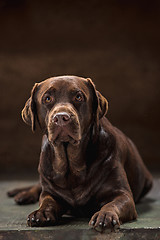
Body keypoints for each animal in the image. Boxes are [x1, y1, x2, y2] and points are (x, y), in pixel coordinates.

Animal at [7, 76, 152, 232]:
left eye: (78, 97)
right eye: (47, 98)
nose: (61, 117)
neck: (71, 166)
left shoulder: (123, 194)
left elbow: (112, 204)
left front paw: (105, 216)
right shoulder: (50, 191)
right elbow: (46, 200)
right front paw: (41, 212)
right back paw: (24, 194)